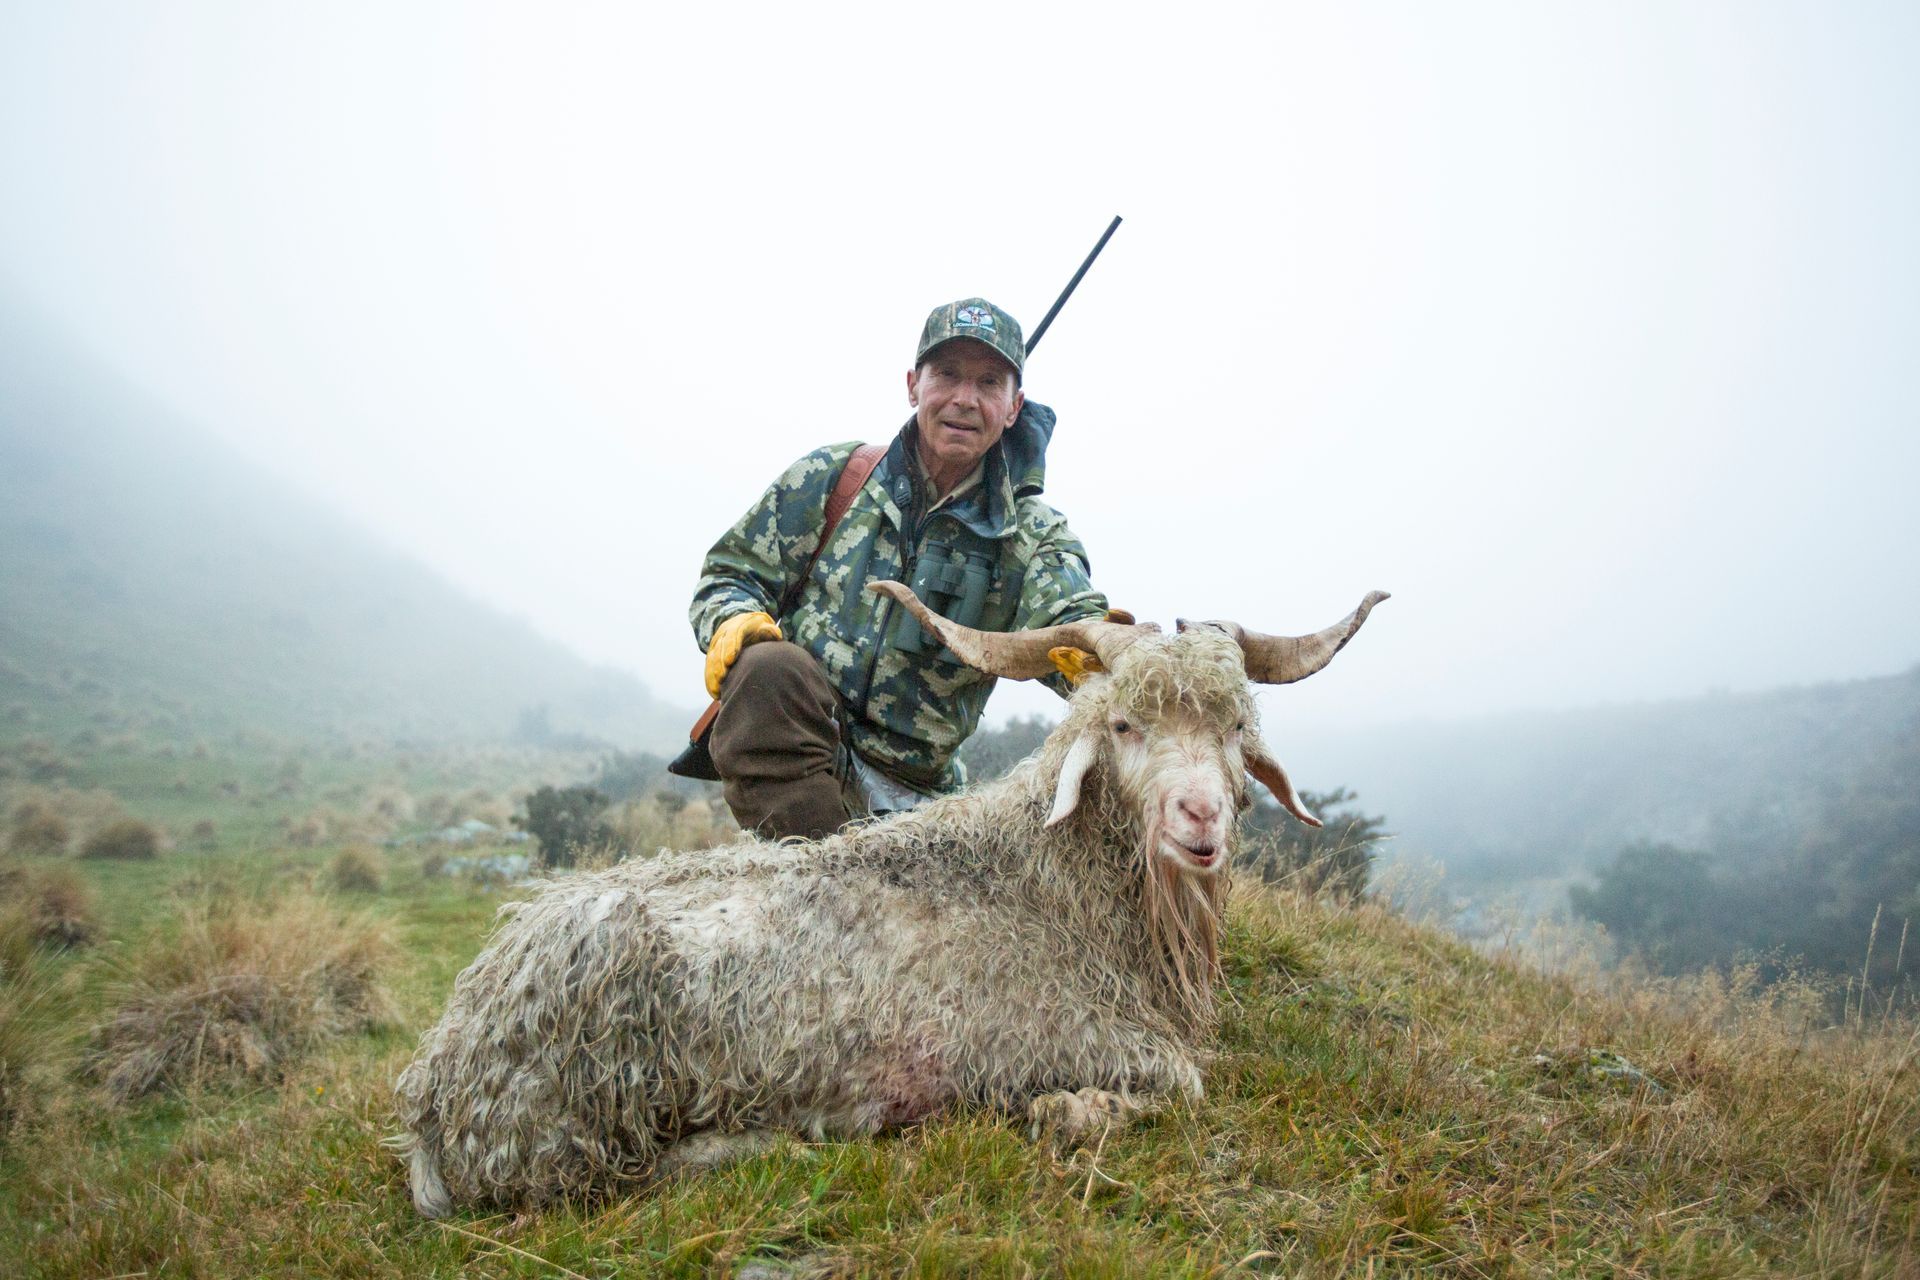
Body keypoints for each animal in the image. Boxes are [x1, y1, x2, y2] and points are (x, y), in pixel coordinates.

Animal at [393, 582, 1387, 1217]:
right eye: (1123, 724)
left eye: (1234, 726)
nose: (1199, 817)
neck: (1046, 879)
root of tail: (439, 1080)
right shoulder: (1050, 1036)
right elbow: (1181, 1085)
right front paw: (1063, 1113)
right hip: (586, 1099)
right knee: (595, 1179)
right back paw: (782, 1140)